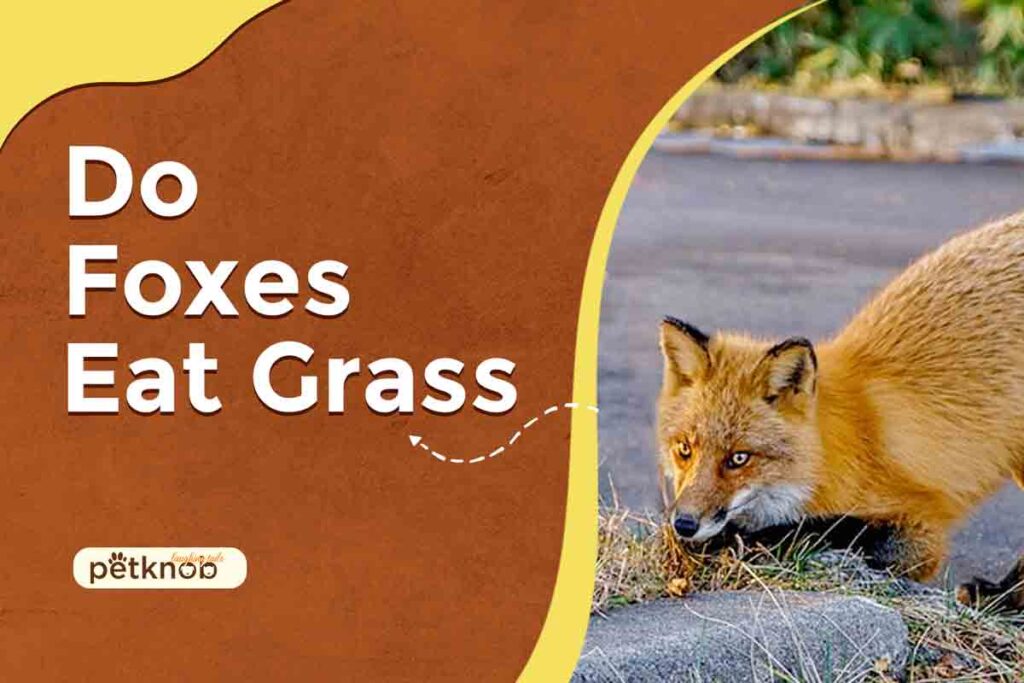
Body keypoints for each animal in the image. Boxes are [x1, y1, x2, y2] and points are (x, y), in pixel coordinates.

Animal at [657, 211, 1024, 610]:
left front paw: (744, 540)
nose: (685, 524)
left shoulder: (918, 532)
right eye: (684, 449)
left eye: (739, 458)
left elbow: (822, 529)